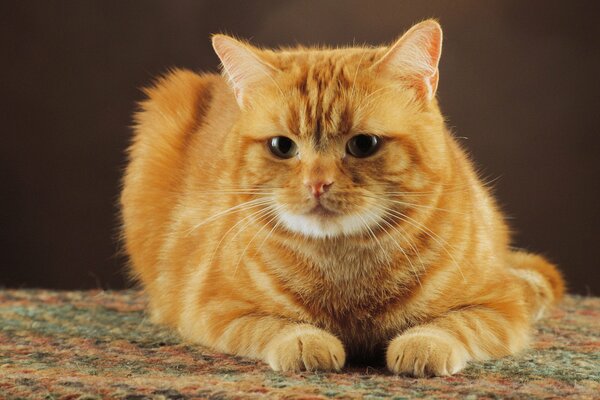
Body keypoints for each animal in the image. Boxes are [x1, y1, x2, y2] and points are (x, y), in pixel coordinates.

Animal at [120, 20, 564, 376]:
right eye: (282, 147)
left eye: (363, 144)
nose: (317, 184)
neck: (345, 264)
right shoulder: (213, 307)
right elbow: (272, 326)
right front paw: (306, 342)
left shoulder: (499, 306)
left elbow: (453, 325)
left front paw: (422, 344)